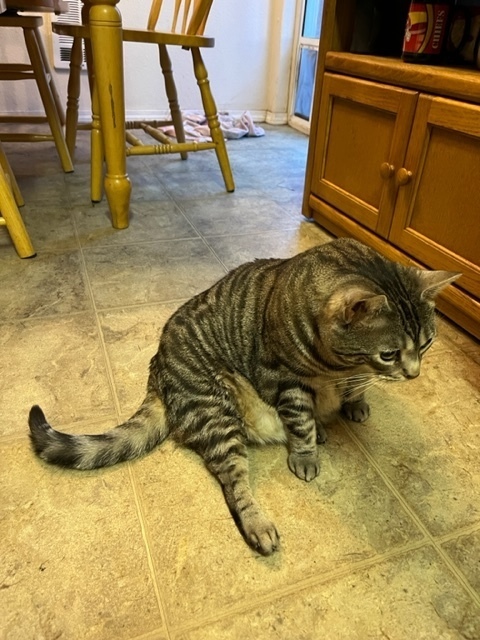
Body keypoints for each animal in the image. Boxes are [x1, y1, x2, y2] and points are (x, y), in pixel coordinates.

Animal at [29, 238, 458, 552]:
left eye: (427, 343)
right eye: (388, 353)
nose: (414, 374)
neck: (336, 365)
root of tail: (157, 371)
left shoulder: (350, 374)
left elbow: (355, 388)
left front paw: (357, 403)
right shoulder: (283, 379)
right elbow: (300, 419)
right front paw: (307, 451)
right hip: (217, 413)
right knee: (234, 484)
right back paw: (259, 522)